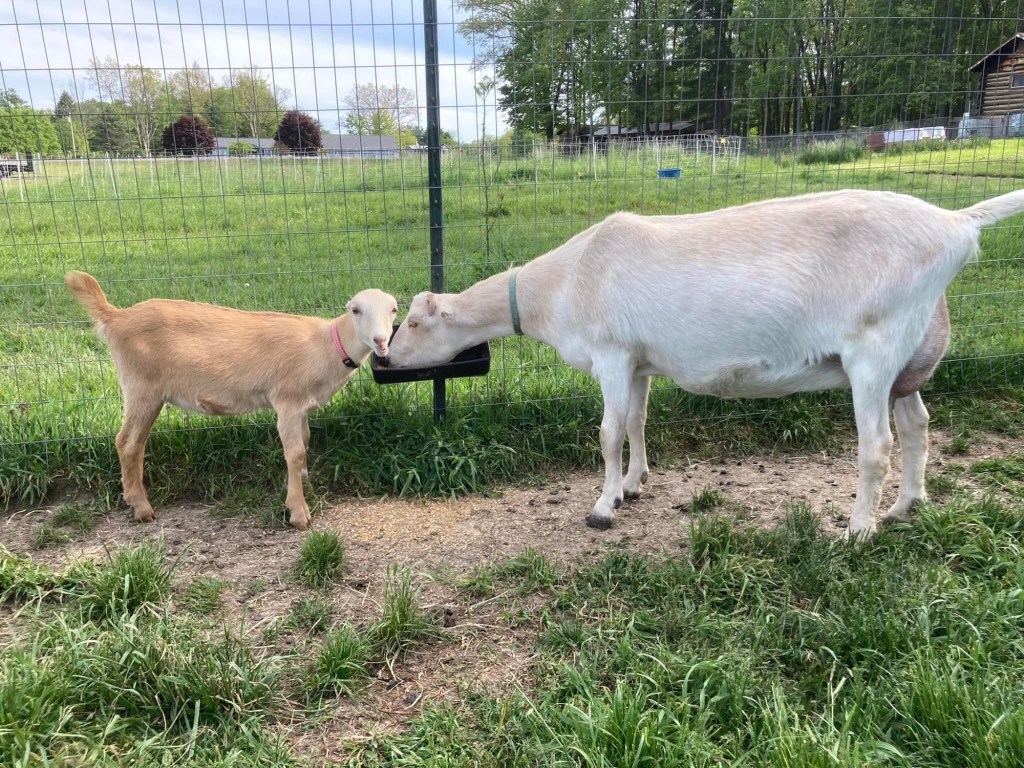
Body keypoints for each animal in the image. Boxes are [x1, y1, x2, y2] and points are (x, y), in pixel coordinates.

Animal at [65, 271, 398, 530]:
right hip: (141, 387)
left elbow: (305, 441)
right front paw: (298, 511)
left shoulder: (301, 406)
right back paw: (141, 507)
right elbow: (294, 453)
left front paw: (305, 483)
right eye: (355, 310)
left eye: (394, 310)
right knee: (128, 442)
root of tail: (115, 316)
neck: (326, 345)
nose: (381, 341)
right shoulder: (287, 400)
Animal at [385, 188, 1024, 538]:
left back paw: (857, 529)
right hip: (908, 352)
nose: (387, 355)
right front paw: (634, 485)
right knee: (917, 425)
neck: (562, 284)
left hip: (874, 348)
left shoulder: (612, 353)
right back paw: (905, 507)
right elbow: (637, 423)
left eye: (413, 322)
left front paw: (602, 507)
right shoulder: (639, 363)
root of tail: (957, 223)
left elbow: (608, 431)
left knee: (878, 444)